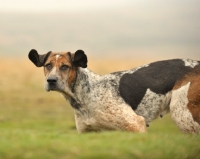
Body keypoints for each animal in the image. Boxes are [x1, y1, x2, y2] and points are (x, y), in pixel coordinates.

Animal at [28, 49, 200, 134]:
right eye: (48, 65)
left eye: (65, 67)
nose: (51, 81)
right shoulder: (88, 133)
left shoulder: (135, 125)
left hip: (183, 116)